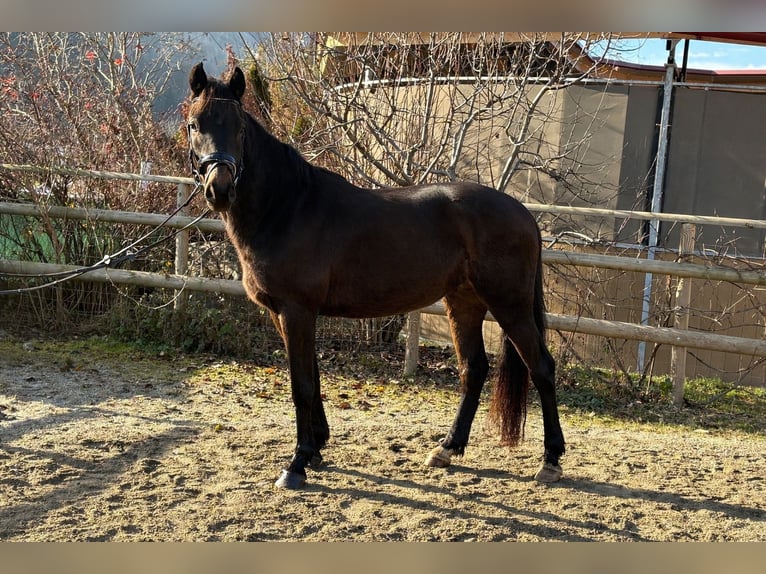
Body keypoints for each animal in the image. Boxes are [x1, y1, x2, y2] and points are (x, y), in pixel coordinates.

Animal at [185, 62, 565, 489]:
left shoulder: (296, 311)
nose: (219, 189)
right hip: (464, 302)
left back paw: (550, 460)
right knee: (474, 369)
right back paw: (446, 449)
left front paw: (297, 464)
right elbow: (314, 378)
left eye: (240, 128)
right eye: (194, 124)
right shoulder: (288, 314)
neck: (287, 207)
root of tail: (524, 213)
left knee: (541, 368)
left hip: (510, 306)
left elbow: (301, 385)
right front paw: (317, 449)